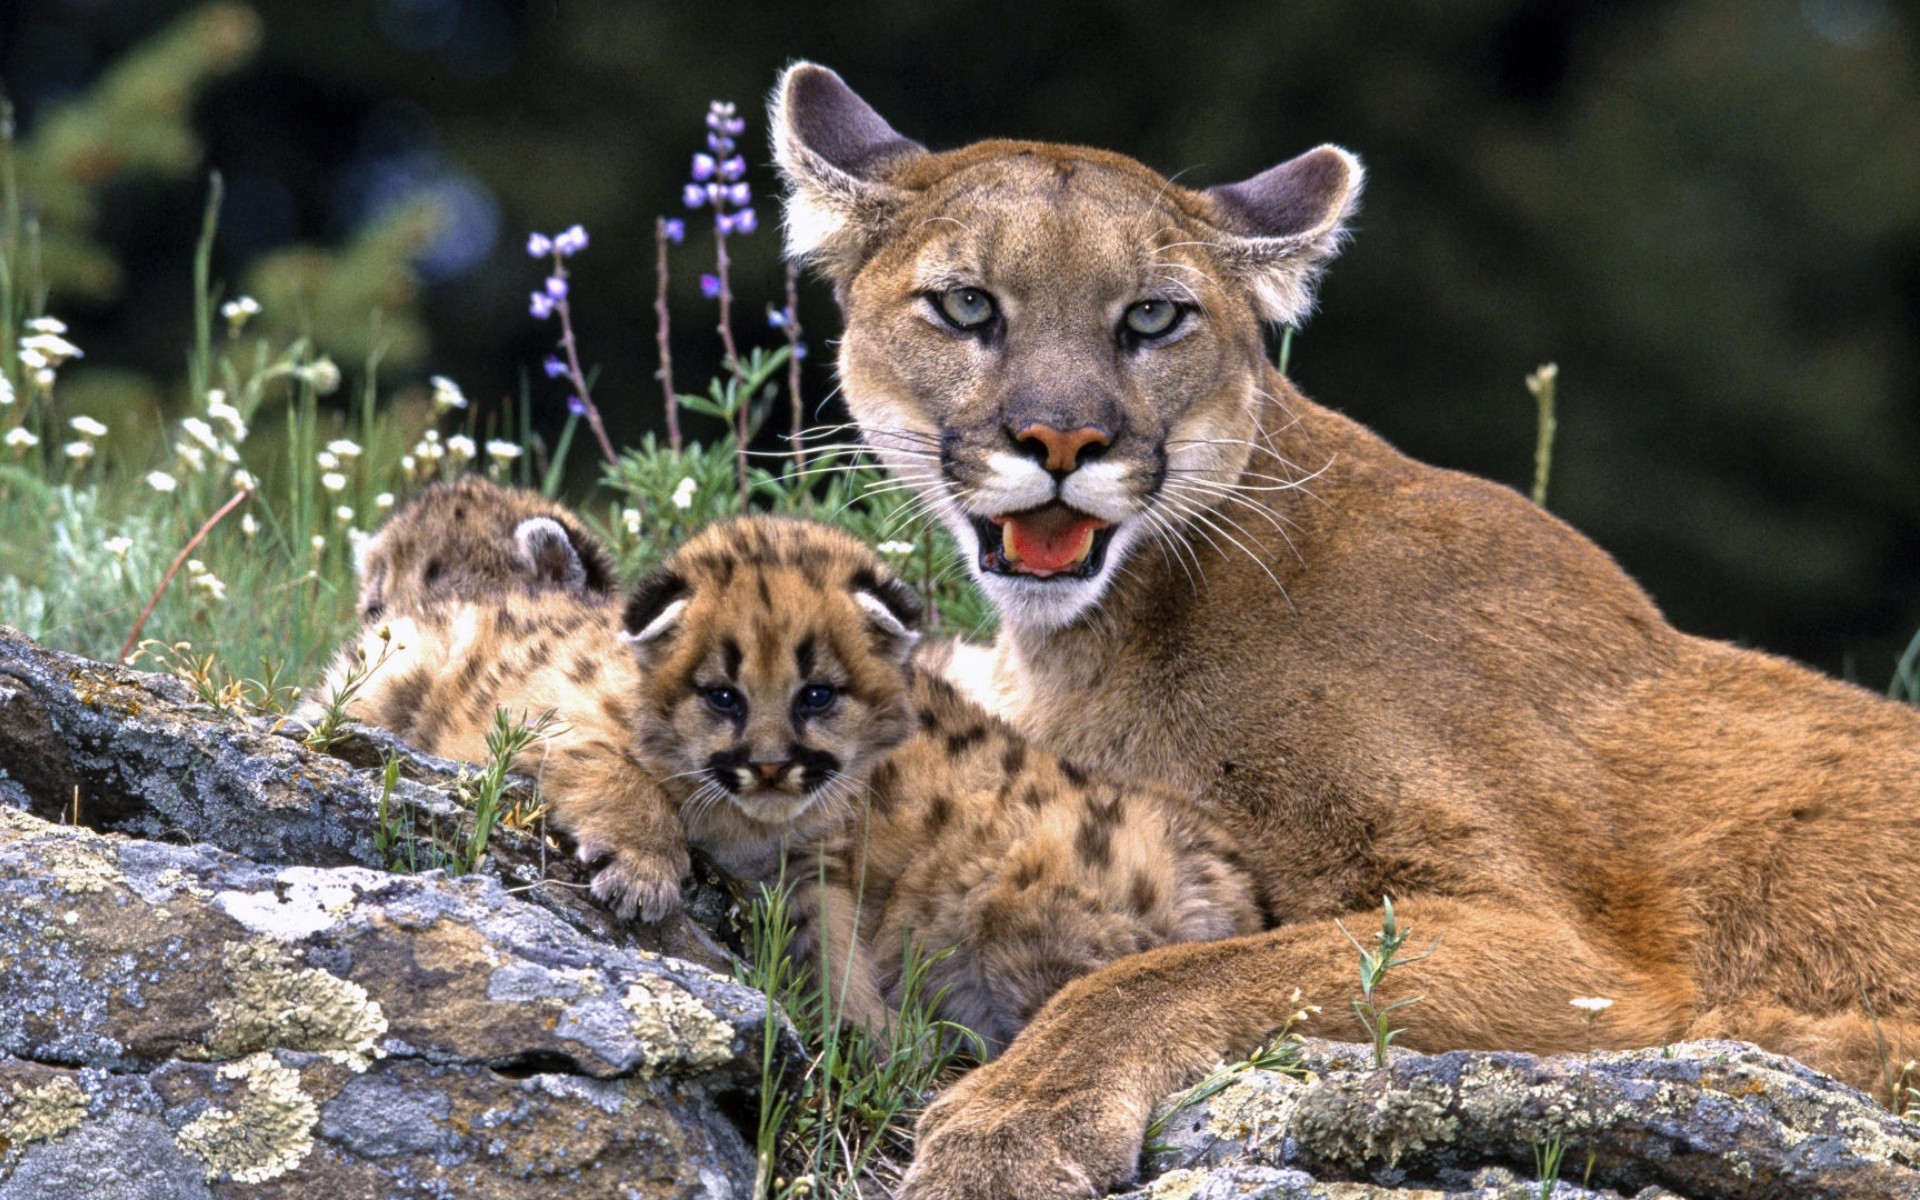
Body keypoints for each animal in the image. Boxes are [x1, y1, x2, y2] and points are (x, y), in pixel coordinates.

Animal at [771, 63, 1920, 1198]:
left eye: (1153, 318)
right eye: (966, 304)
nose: (1062, 438)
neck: (1102, 637)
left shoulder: (1571, 953)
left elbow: (1165, 975)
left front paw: (1010, 1122)